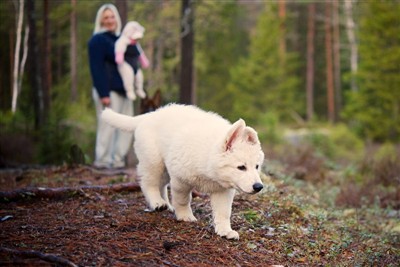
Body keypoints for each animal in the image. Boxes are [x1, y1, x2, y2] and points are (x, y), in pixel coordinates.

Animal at [100, 104, 264, 241]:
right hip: (154, 161)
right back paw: (157, 202)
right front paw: (185, 216)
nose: (259, 187)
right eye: (241, 167)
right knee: (148, 183)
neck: (207, 156)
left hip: (165, 168)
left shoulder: (223, 190)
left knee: (161, 185)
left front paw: (225, 231)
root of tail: (150, 115)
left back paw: (166, 205)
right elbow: (182, 200)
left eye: (257, 166)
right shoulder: (181, 180)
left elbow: (224, 212)